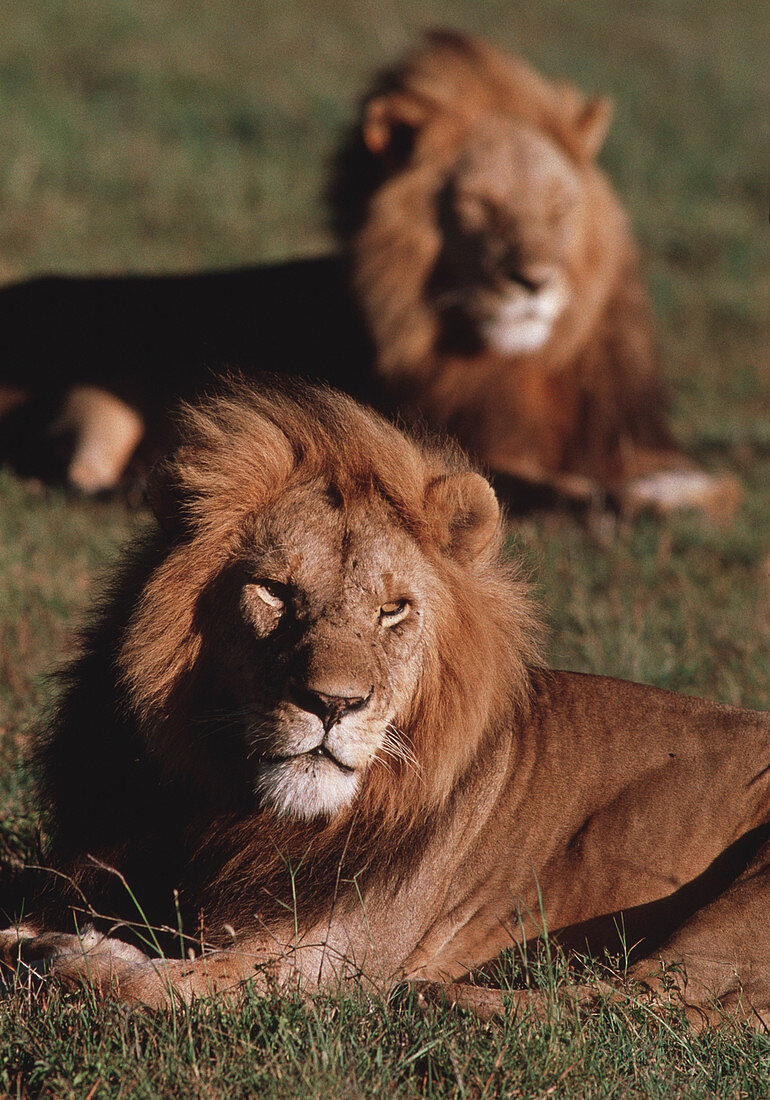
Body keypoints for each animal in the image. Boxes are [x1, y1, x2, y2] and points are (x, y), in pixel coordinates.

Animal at [1, 382, 770, 1025]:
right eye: (274, 591)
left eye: (393, 610)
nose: (331, 704)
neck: (230, 814)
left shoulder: (326, 960)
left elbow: (152, 984)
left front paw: (65, 953)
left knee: (653, 1007)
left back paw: (435, 993)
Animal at [334, 30, 739, 519]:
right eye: (480, 204)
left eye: (558, 208)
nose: (533, 282)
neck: (522, 365)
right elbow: (560, 490)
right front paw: (634, 497)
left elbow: (725, 487)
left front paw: (674, 490)